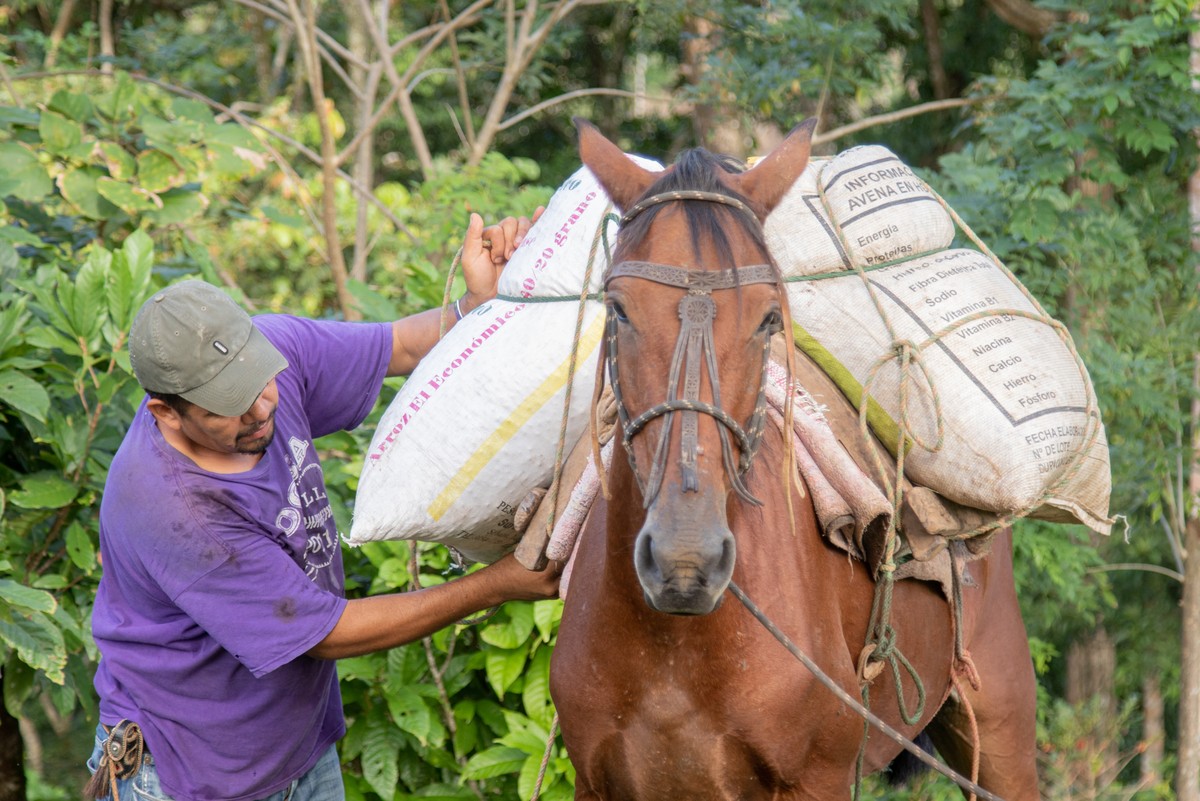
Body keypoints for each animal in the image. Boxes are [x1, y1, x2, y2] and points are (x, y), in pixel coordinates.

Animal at [547, 119, 1040, 801]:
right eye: (618, 307)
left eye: (768, 318)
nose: (684, 560)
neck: (676, 648)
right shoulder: (598, 785)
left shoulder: (820, 780)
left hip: (997, 727)